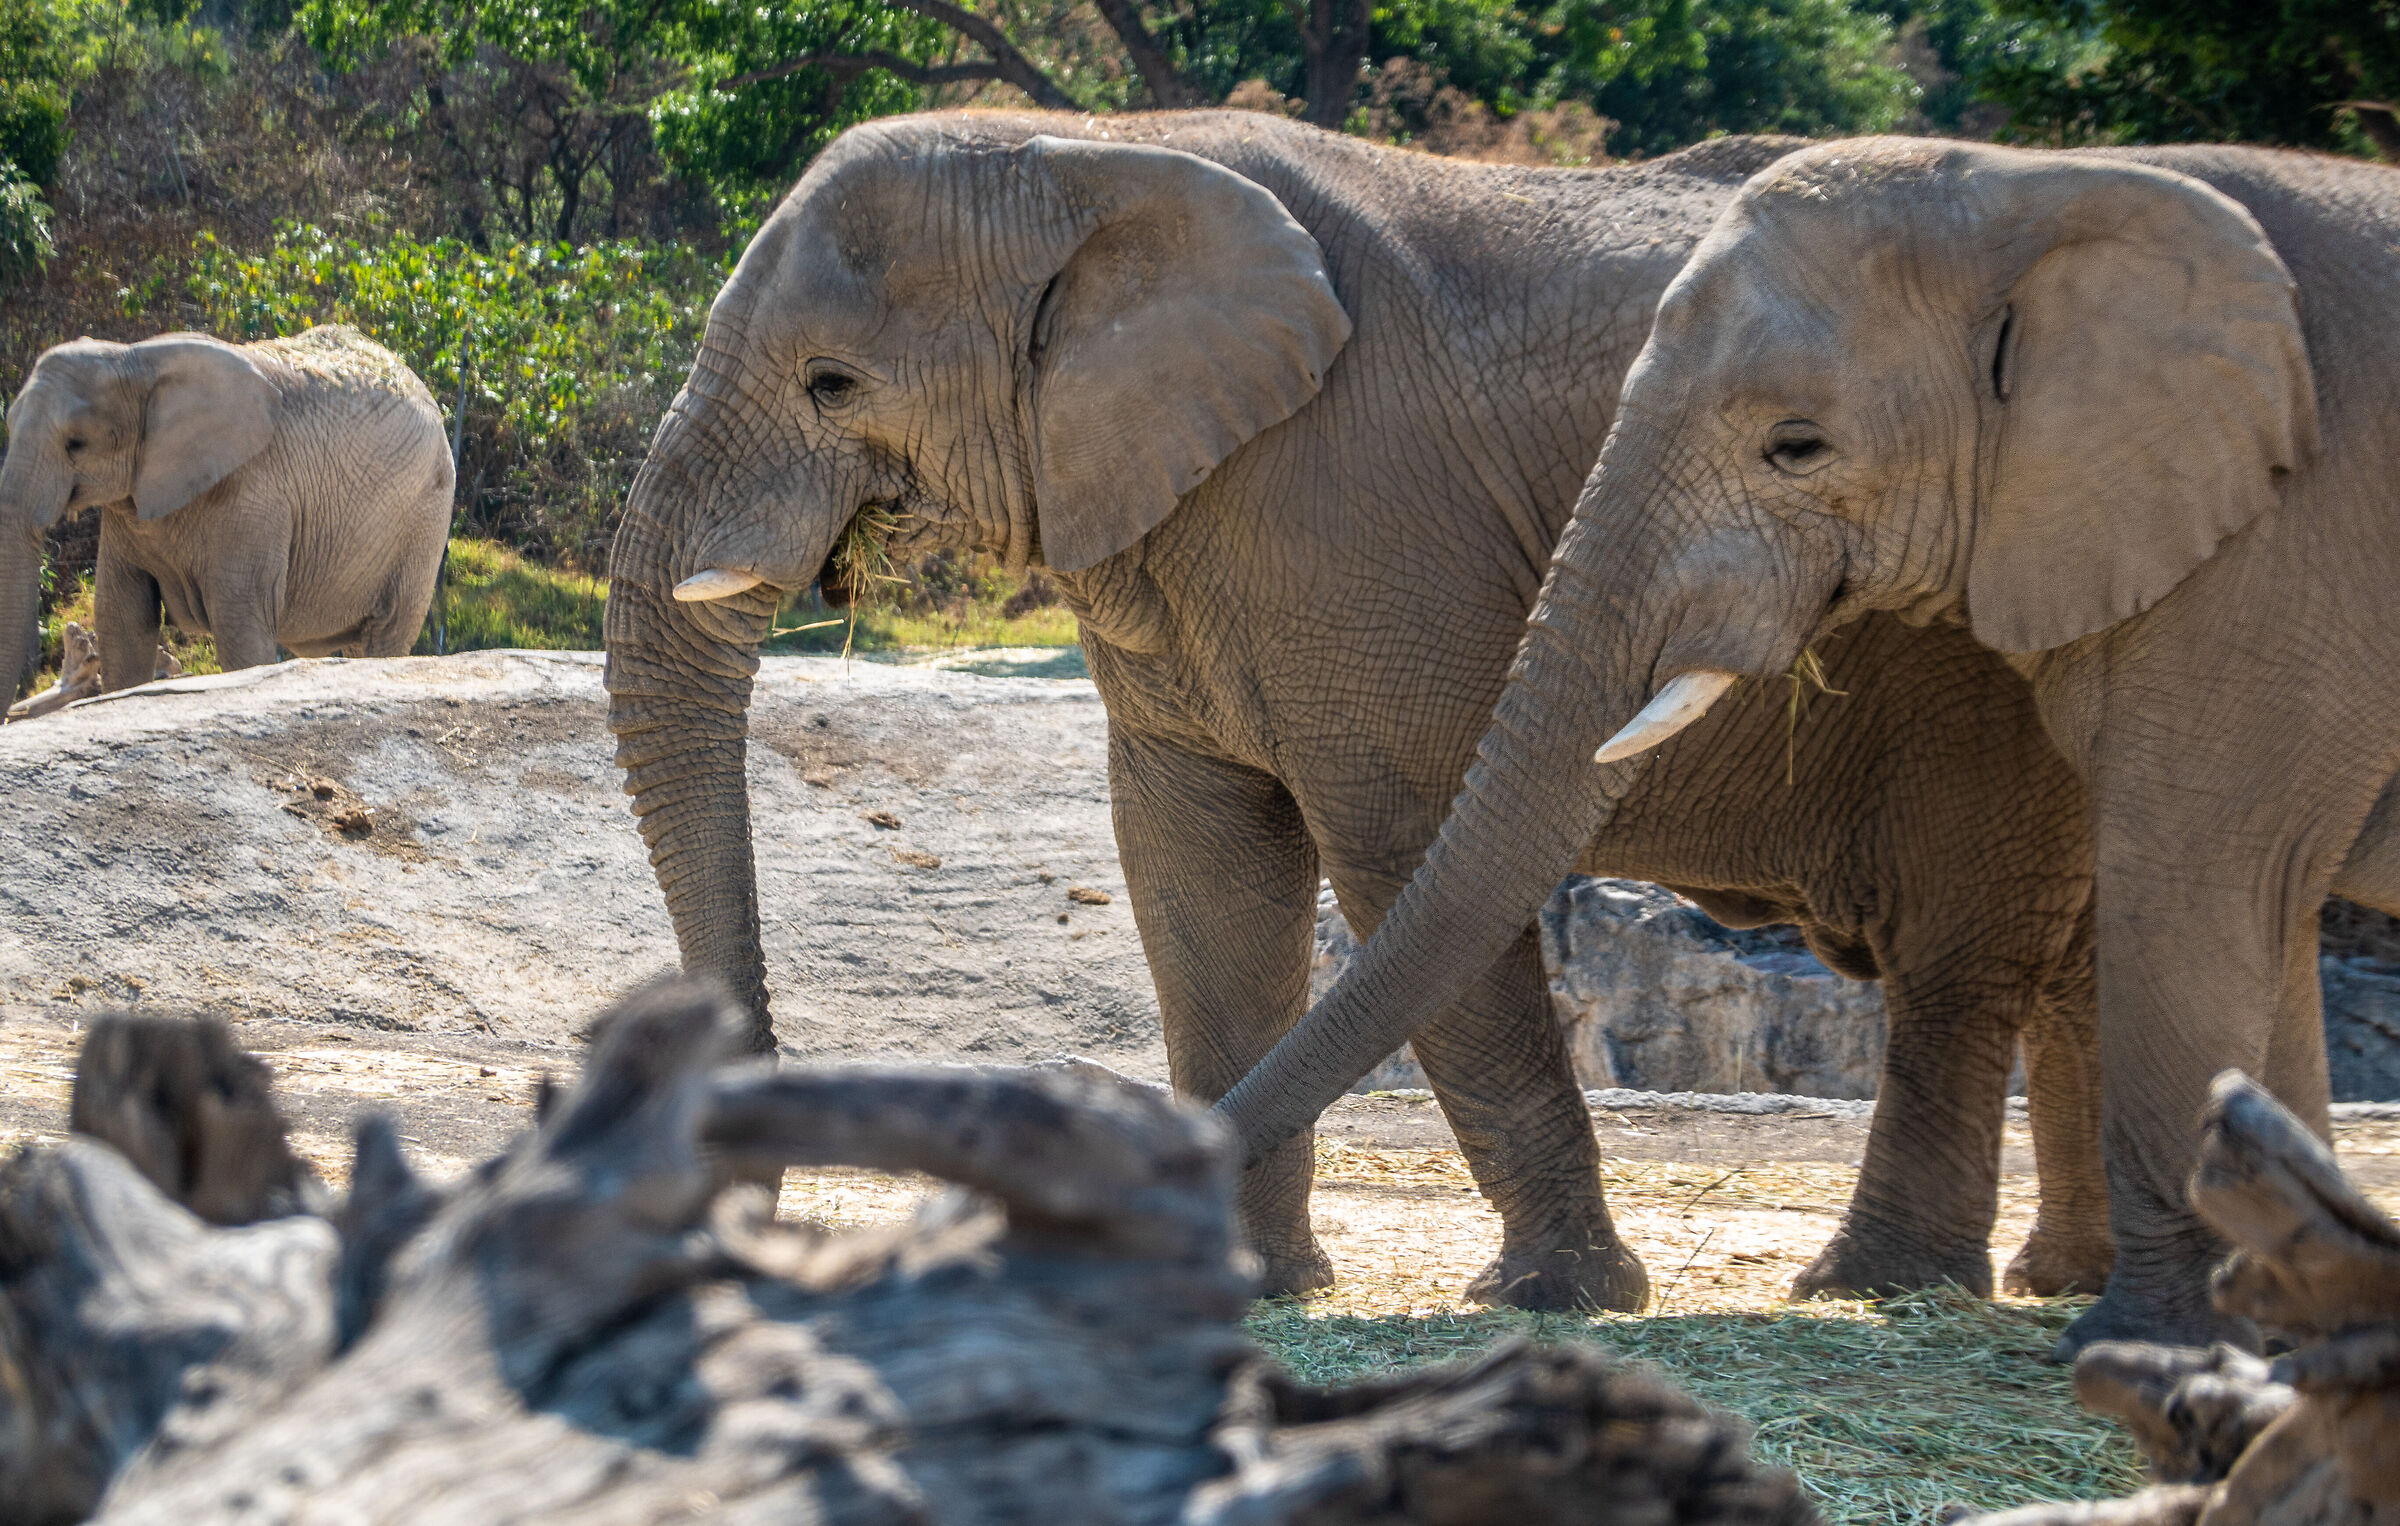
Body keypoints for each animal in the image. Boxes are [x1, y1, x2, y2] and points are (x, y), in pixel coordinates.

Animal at [1, 324, 454, 704]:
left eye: (76, 443)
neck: (134, 359)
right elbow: (123, 620)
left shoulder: (255, 494)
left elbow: (239, 624)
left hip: (425, 516)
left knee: (386, 632)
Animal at [606, 108, 2112, 1312]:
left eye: (832, 383)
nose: (755, 1218)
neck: (1093, 152)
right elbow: (1196, 875)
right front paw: (1244, 1281)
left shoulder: (1352, 510)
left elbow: (1398, 853)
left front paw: (1557, 1299)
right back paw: (2067, 1282)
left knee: (1966, 952)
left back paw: (1891, 1286)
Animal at [1217, 136, 2400, 1352]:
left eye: (1796, 445)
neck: (2030, 189)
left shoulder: (2278, 565)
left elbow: (2201, 881)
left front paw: (2155, 1343)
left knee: (1974, 952)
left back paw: (1889, 1285)